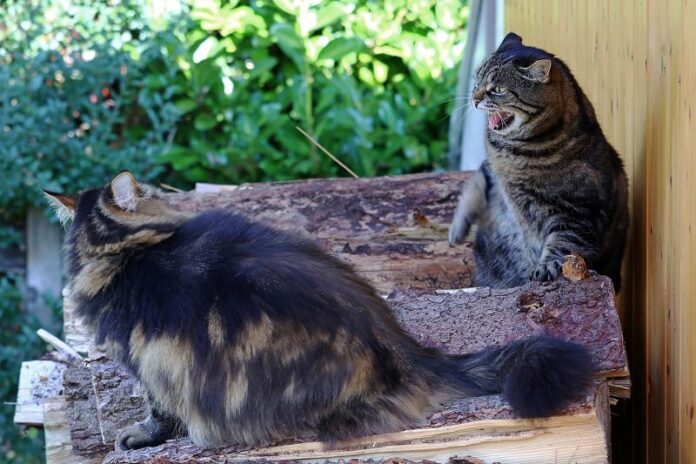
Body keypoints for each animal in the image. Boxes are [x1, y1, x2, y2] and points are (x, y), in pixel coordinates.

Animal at [448, 32, 628, 292]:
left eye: (498, 89)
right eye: (476, 81)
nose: (474, 99)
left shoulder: (578, 212)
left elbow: (562, 245)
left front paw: (547, 266)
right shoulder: (490, 170)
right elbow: (476, 180)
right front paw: (457, 228)